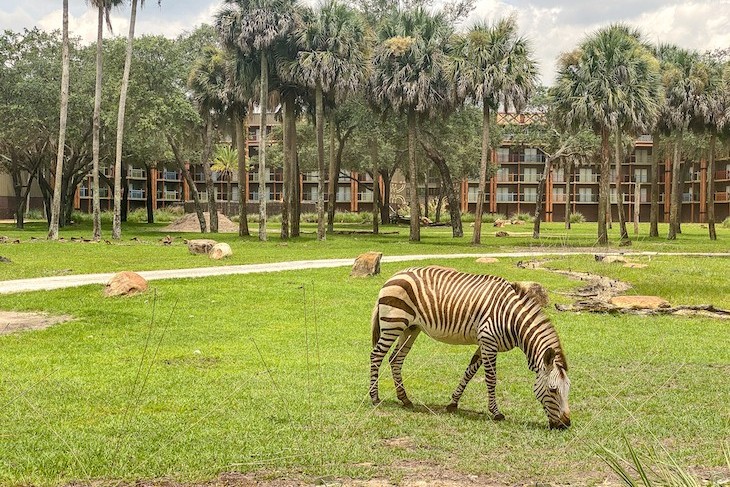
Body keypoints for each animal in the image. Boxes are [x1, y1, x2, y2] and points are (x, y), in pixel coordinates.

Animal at [370, 266, 568, 430]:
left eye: (568, 389)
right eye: (553, 390)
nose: (566, 425)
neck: (511, 319)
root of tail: (394, 275)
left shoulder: (484, 344)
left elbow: (469, 372)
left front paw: (453, 403)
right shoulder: (489, 342)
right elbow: (491, 379)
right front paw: (496, 412)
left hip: (411, 328)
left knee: (395, 359)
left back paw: (404, 399)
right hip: (393, 324)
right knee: (376, 355)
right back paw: (374, 397)